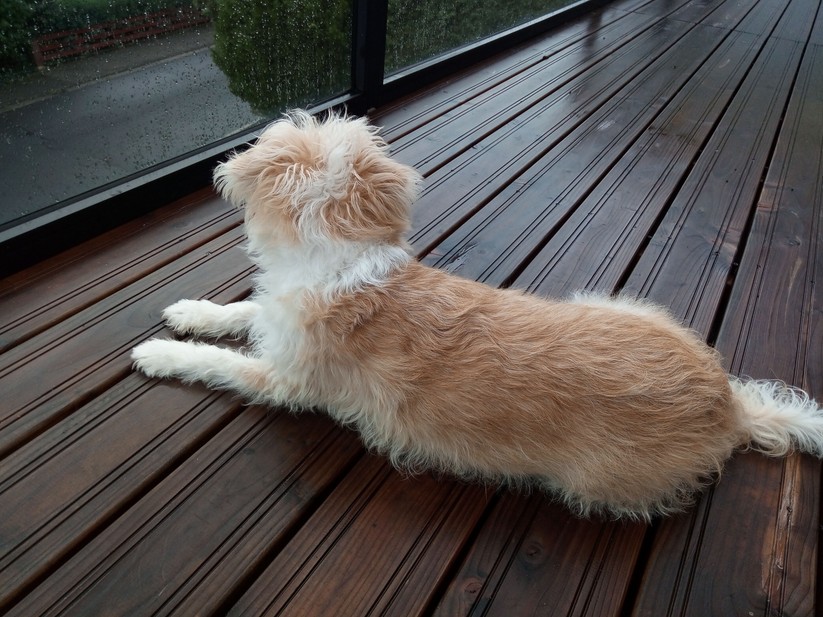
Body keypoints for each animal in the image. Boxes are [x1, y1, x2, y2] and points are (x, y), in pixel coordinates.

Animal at [132, 110, 823, 520]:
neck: (344, 258)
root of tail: (728, 407)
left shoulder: (283, 379)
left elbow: (215, 362)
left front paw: (161, 351)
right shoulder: (276, 323)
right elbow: (240, 312)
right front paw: (191, 309)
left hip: (596, 485)